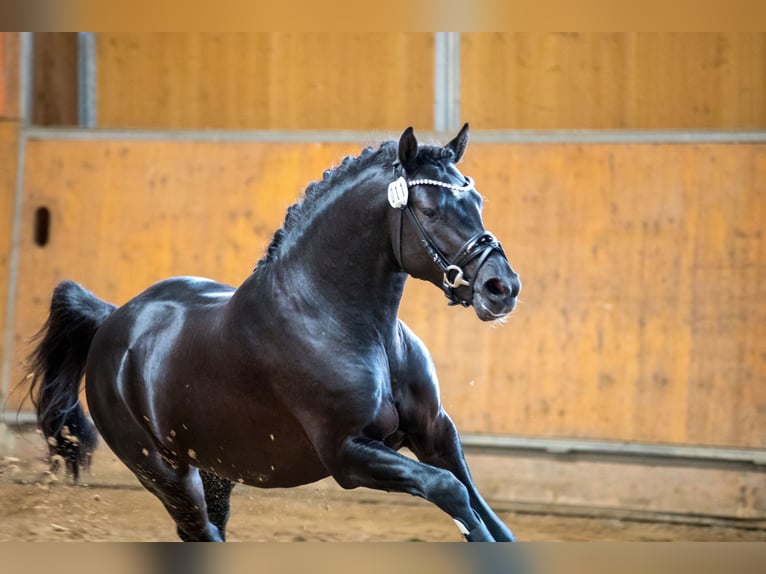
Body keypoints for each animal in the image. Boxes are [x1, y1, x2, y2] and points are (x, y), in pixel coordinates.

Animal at [28, 124, 520, 544]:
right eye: (429, 210)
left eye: (477, 200)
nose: (502, 287)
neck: (344, 323)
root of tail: (113, 320)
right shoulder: (348, 454)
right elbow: (451, 492)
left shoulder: (434, 432)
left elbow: (483, 509)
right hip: (168, 476)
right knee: (199, 531)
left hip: (215, 471)